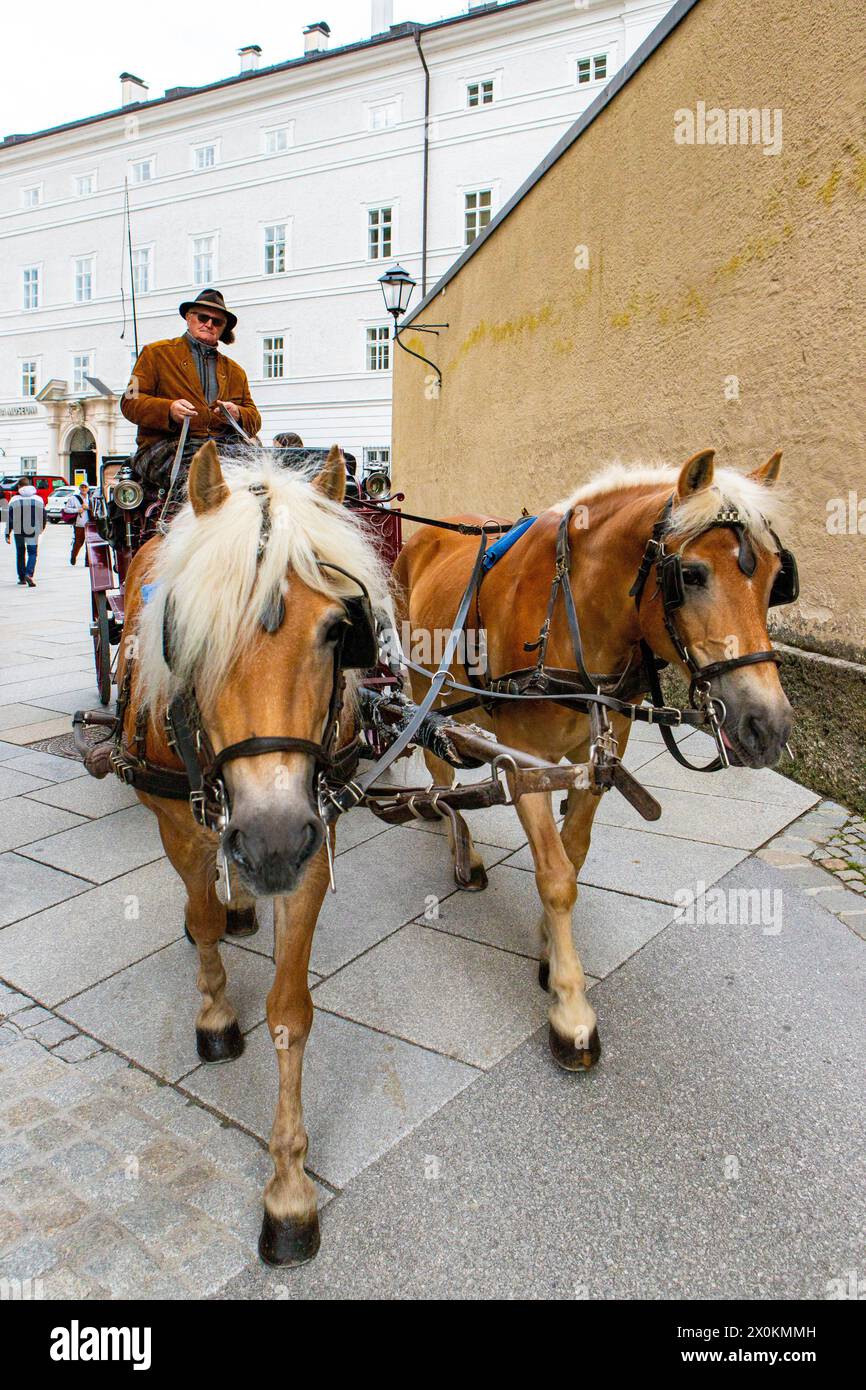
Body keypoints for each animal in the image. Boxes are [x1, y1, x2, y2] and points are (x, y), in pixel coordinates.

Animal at [118, 440, 391, 1266]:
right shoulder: (180, 824)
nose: (267, 841)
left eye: (338, 631)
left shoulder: (313, 835)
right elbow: (203, 921)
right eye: (190, 630)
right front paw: (214, 1016)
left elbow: (290, 1011)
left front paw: (290, 1192)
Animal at [394, 449, 794, 1073]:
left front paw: (548, 948)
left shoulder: (603, 750)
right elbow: (556, 875)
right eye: (691, 575)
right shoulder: (527, 763)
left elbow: (574, 853)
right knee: (438, 770)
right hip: (420, 680)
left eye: (779, 579)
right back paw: (458, 841)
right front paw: (571, 1009)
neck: (568, 614)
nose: (768, 727)